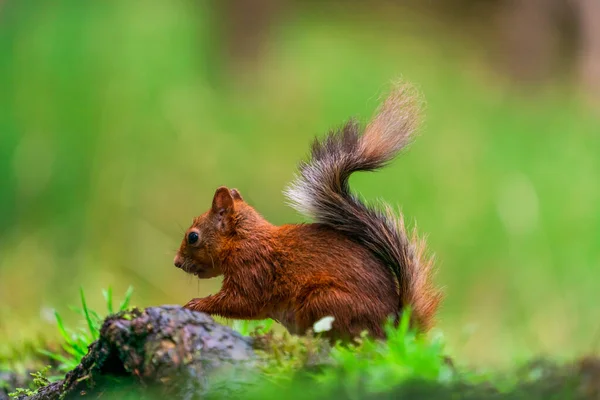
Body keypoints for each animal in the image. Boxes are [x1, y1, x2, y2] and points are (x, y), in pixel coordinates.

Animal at [173, 82, 440, 340]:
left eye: (193, 237)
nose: (176, 263)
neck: (244, 238)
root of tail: (394, 328)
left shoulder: (254, 270)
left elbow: (241, 303)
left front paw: (195, 305)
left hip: (324, 302)